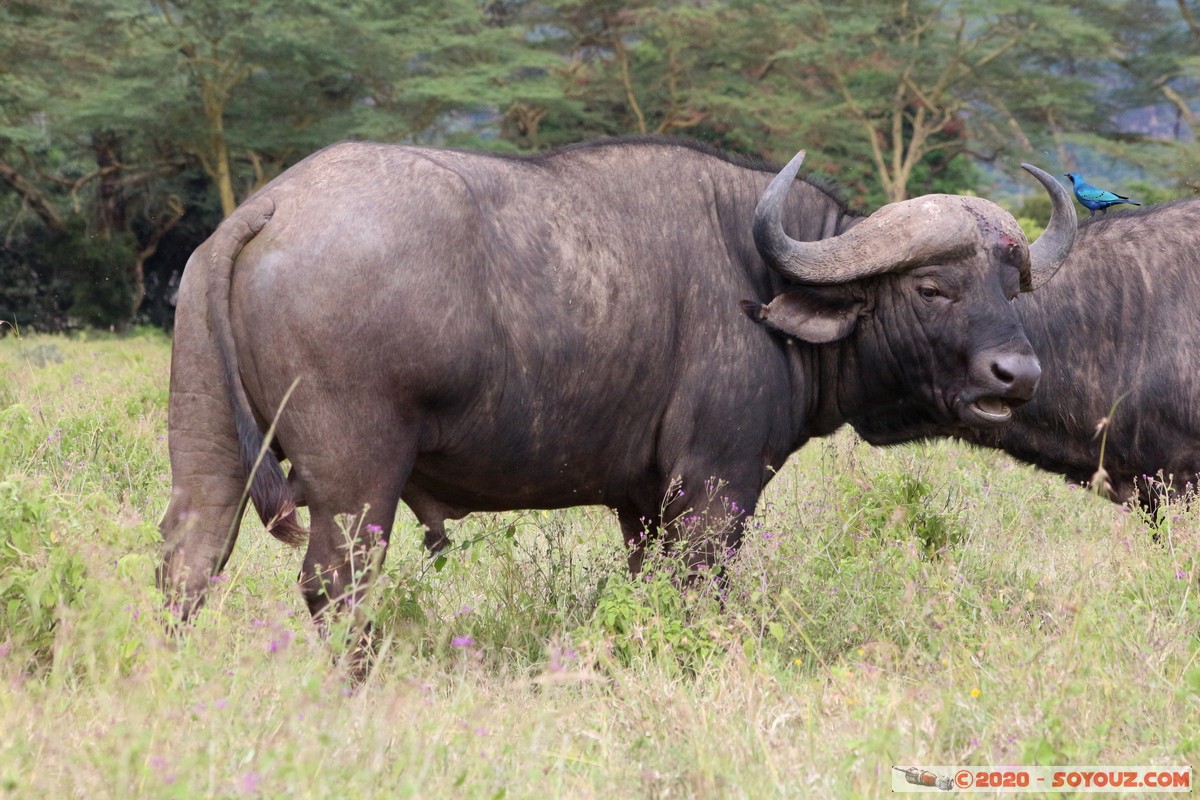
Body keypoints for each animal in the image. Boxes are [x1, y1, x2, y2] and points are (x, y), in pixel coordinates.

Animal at [157, 139, 1080, 623]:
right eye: (932, 287)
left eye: (1011, 285)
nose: (1017, 373)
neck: (759, 280)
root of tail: (271, 205)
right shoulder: (713, 490)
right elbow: (698, 594)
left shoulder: (643, 503)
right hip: (357, 483)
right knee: (336, 586)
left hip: (208, 456)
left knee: (188, 565)